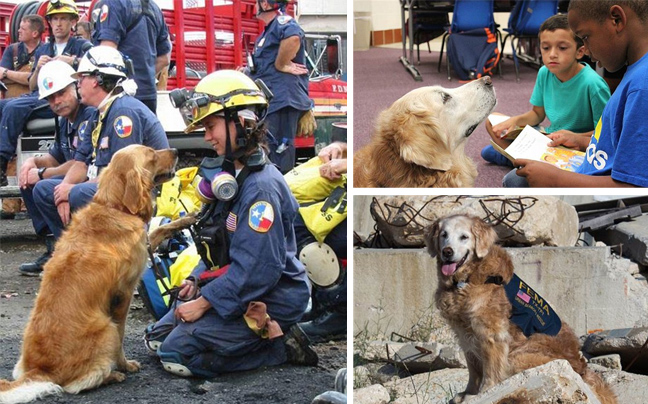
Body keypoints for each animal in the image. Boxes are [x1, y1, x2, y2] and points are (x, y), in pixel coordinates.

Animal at [0, 145, 177, 404]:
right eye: (152, 155)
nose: (175, 150)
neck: (114, 206)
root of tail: (40, 371)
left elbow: (161, 228)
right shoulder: (123, 294)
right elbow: (122, 336)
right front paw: (125, 365)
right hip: (106, 328)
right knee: (77, 384)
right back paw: (112, 375)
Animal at [426, 215, 616, 404]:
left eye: (464, 237)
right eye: (444, 235)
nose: (447, 252)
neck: (467, 279)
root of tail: (582, 369)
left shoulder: (491, 334)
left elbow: (490, 369)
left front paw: (483, 393)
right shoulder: (464, 334)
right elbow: (473, 369)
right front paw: (468, 393)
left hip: (518, 356)